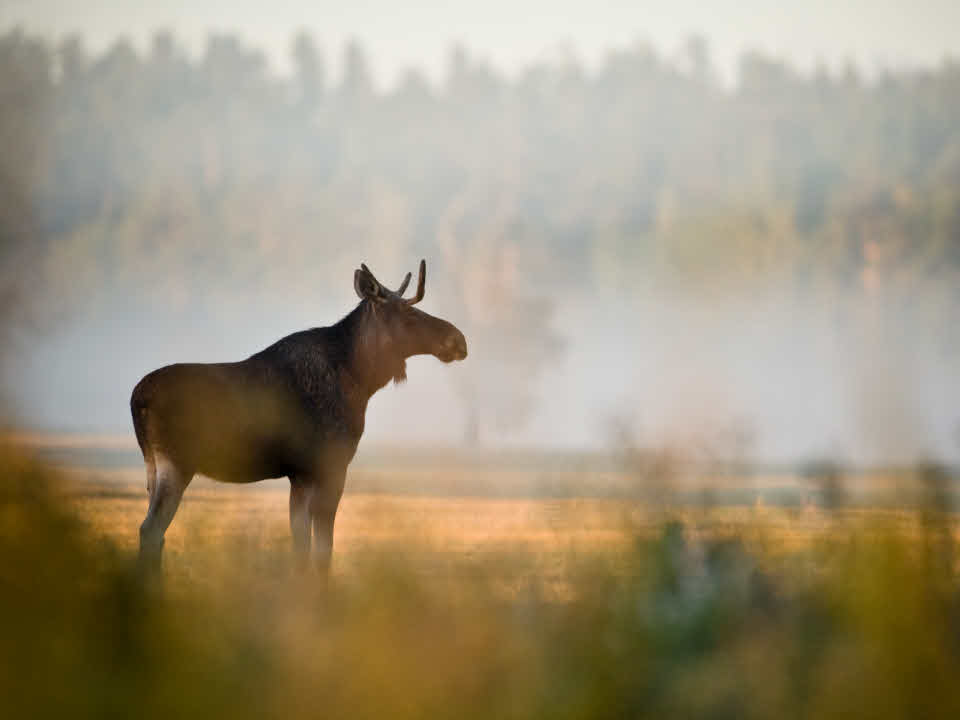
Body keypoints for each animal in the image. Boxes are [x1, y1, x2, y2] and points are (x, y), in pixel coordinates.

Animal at [131, 262, 468, 576]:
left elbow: (301, 547)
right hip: (176, 463)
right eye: (408, 314)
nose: (459, 340)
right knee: (151, 530)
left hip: (152, 467)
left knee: (154, 533)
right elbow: (321, 551)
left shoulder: (299, 475)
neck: (359, 381)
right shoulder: (328, 466)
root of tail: (137, 399)